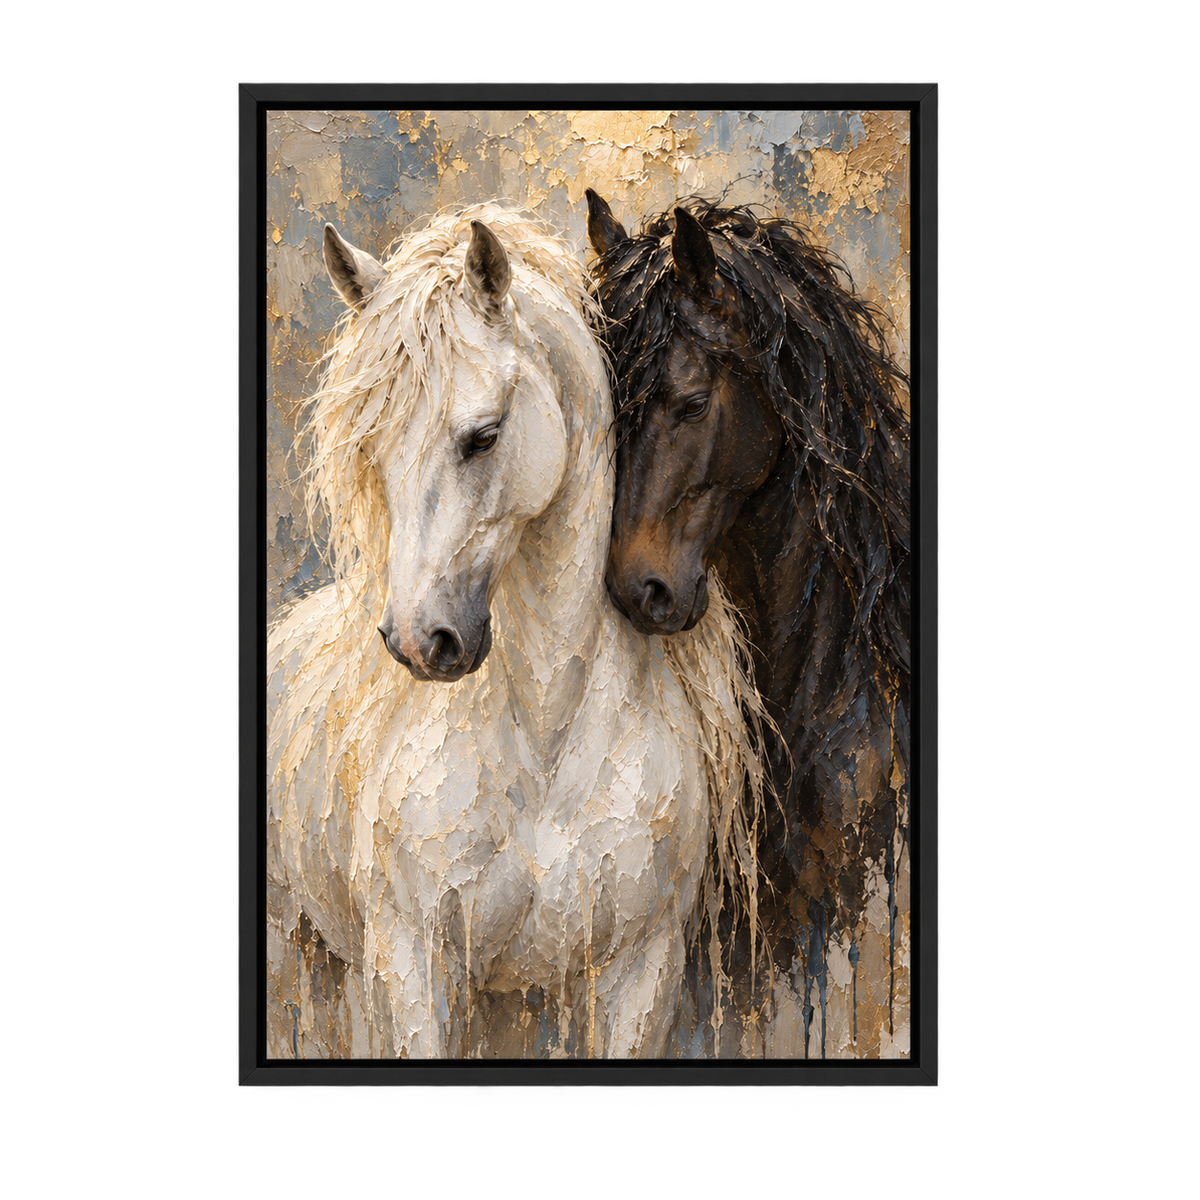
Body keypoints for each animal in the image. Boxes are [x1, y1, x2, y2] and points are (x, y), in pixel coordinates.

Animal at [266, 204, 766, 1059]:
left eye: (484, 434)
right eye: (373, 447)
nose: (418, 643)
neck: (545, 735)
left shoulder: (640, 974)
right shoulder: (414, 970)